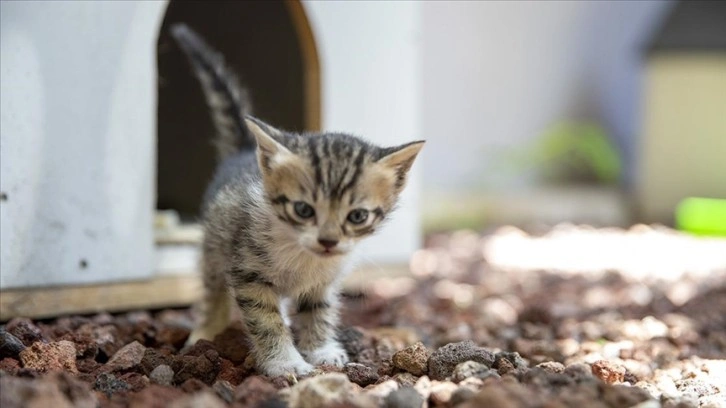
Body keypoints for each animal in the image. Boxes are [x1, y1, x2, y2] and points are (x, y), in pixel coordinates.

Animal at [171, 24, 424, 376]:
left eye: (357, 216)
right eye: (303, 210)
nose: (328, 241)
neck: (303, 256)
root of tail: (243, 153)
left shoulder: (324, 282)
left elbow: (318, 310)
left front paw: (320, 349)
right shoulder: (248, 274)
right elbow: (266, 320)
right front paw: (285, 362)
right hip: (215, 246)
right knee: (213, 289)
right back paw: (207, 330)